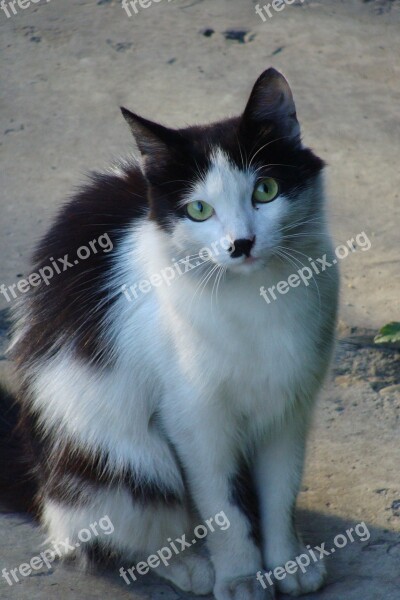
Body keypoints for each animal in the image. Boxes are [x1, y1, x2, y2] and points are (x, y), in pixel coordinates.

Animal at [0, 68, 338, 596]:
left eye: (265, 190)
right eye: (199, 210)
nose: (241, 244)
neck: (257, 297)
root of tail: (42, 483)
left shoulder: (289, 410)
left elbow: (279, 494)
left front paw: (288, 561)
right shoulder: (194, 421)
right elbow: (222, 509)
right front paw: (241, 574)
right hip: (131, 460)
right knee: (108, 534)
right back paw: (188, 565)